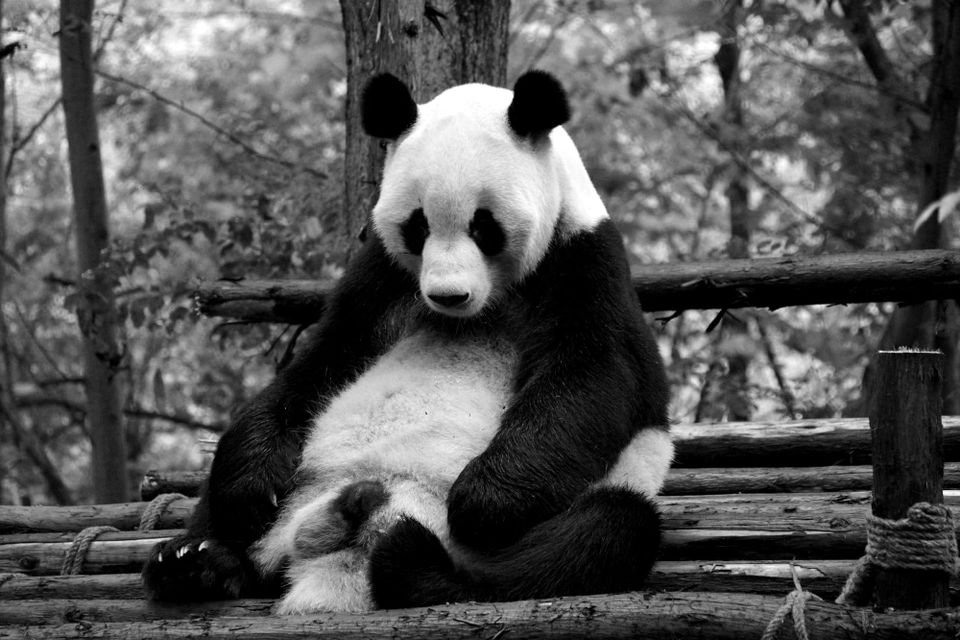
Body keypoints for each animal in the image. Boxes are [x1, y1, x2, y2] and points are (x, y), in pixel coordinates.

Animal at [142, 70, 671, 612]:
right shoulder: (383, 277)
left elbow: (594, 377)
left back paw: (415, 562)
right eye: (418, 225)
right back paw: (197, 561)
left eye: (484, 226)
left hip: (605, 496)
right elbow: (321, 363)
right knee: (222, 502)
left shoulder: (584, 261)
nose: (448, 295)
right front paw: (249, 488)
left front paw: (483, 500)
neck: (484, 306)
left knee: (599, 534)